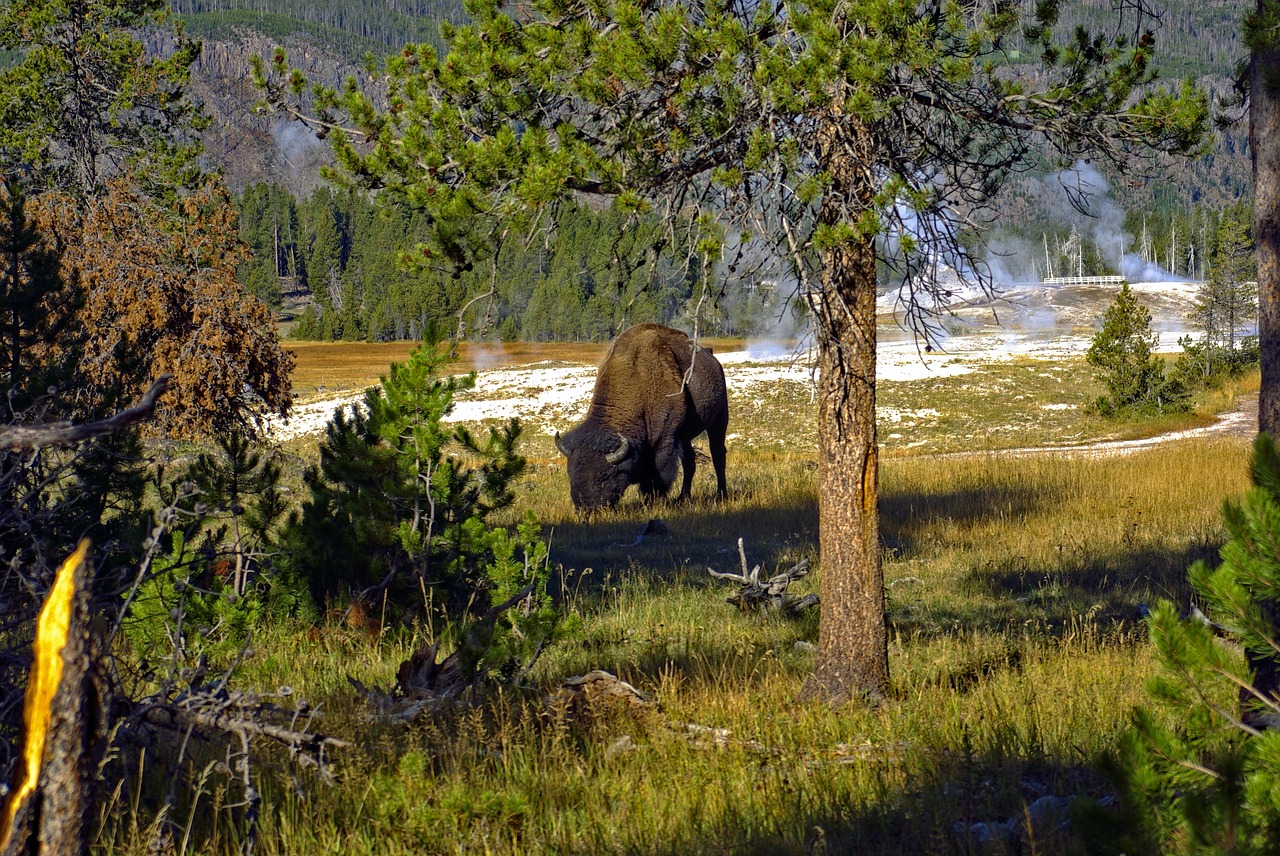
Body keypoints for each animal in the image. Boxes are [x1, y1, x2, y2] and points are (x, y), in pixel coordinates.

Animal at [552, 319, 727, 506]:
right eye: (570, 473)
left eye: (604, 477)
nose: (584, 506)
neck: (638, 382)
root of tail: (713, 359)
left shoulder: (664, 440)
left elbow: (658, 472)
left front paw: (653, 498)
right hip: (685, 435)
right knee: (689, 462)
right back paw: (682, 498)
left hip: (720, 418)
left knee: (718, 453)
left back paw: (721, 494)